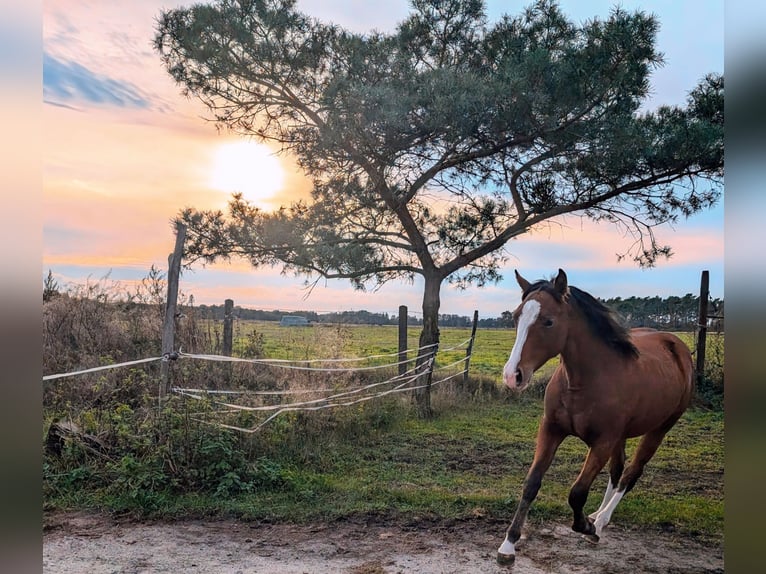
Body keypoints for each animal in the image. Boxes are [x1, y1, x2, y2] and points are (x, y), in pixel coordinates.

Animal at [496, 270, 700, 568]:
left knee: (630, 473)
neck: (584, 382)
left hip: (659, 429)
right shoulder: (551, 430)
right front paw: (508, 545)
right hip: (622, 436)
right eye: (515, 316)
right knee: (617, 471)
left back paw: (601, 522)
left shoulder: (602, 442)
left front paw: (586, 527)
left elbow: (577, 492)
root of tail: (679, 348)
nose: (513, 376)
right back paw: (597, 516)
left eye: (549, 321)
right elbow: (532, 483)